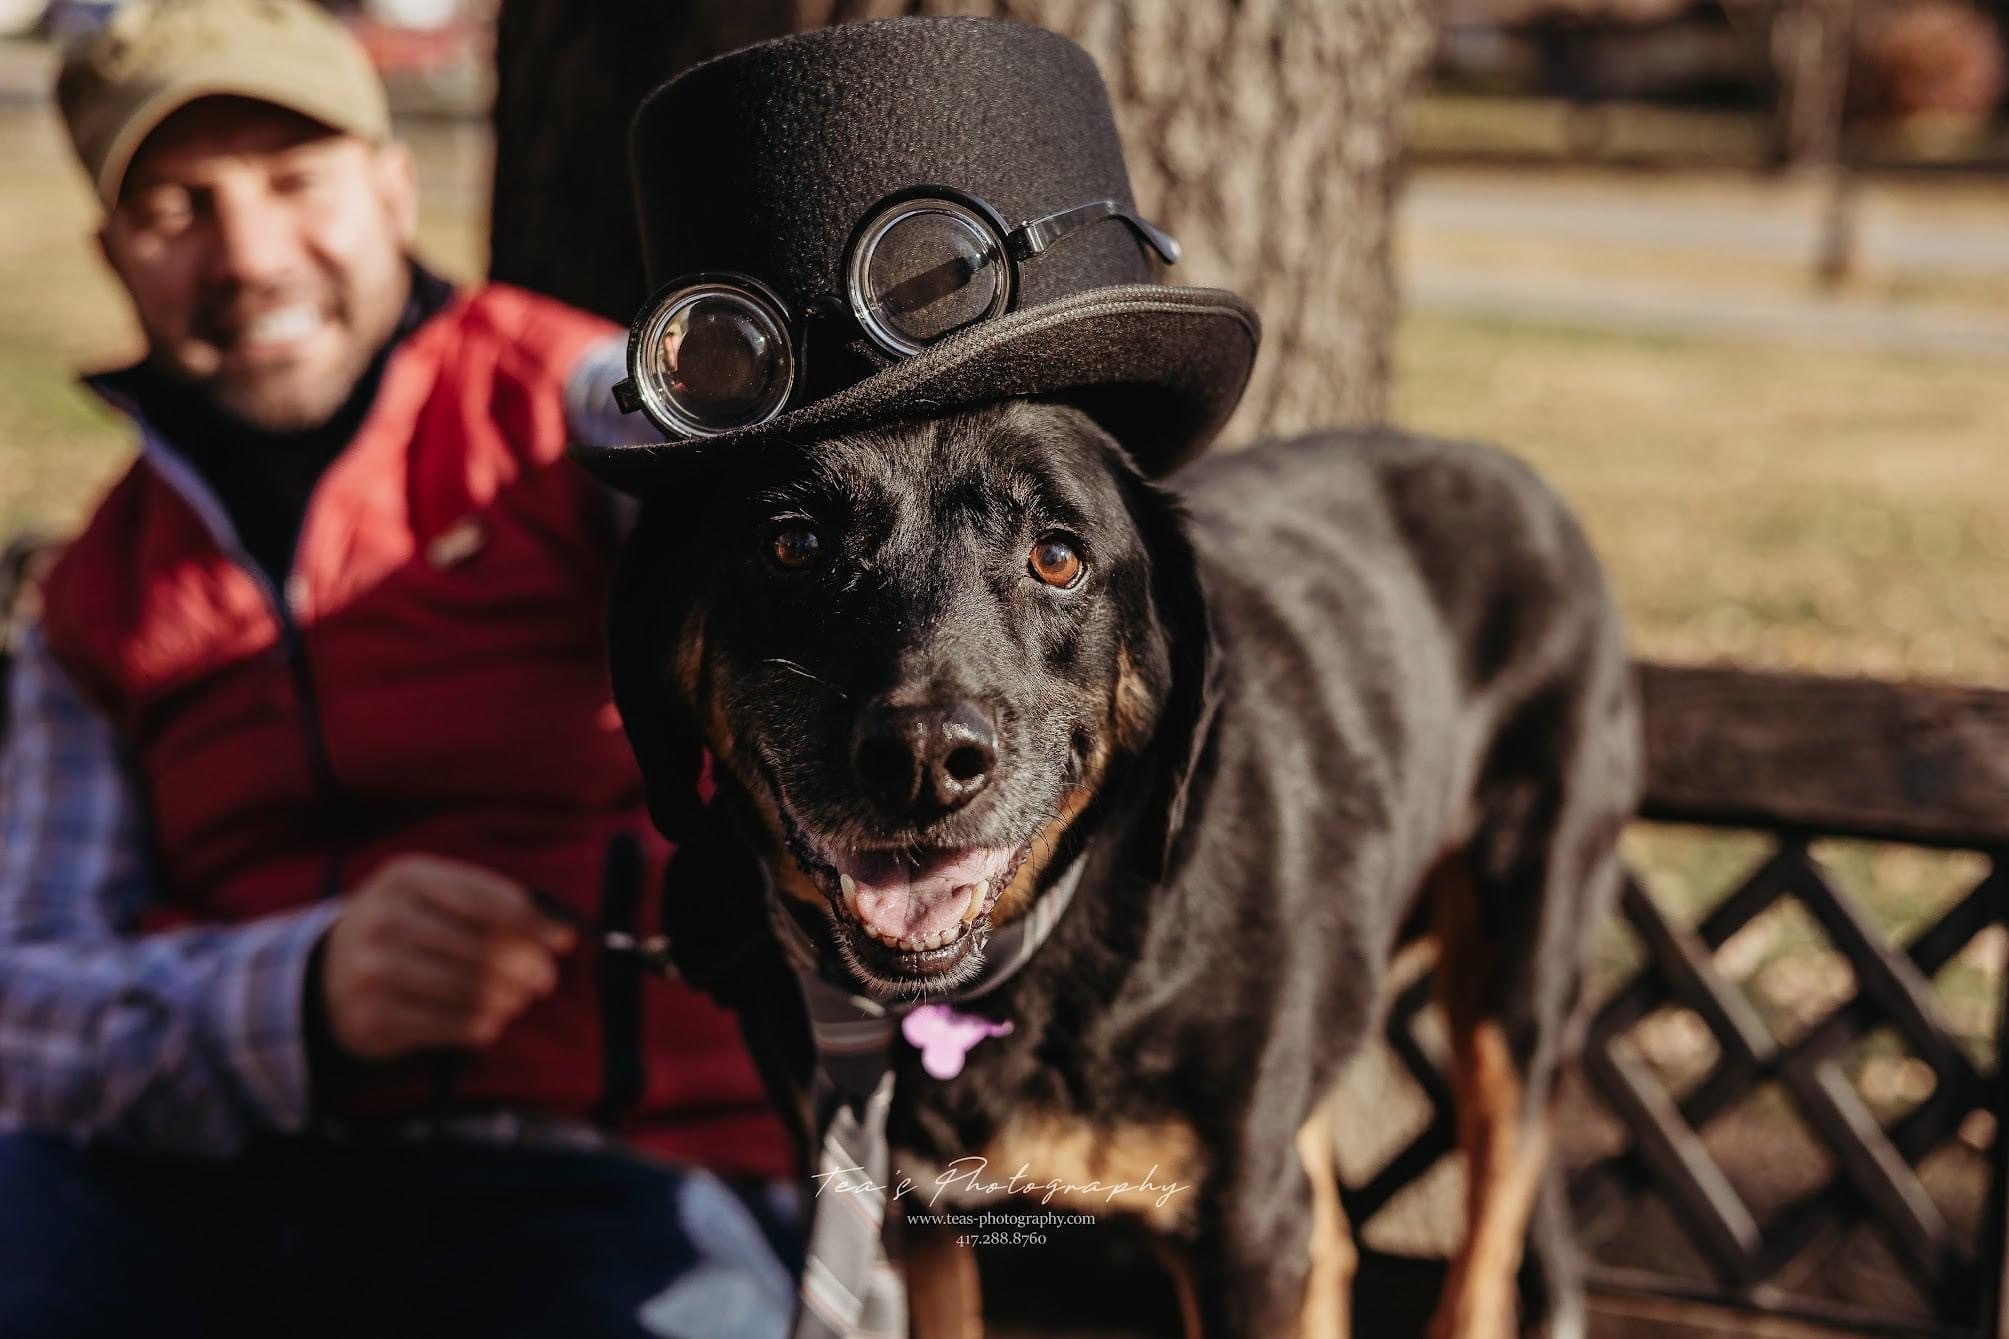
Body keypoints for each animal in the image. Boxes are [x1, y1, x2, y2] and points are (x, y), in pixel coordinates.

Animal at [618, 401, 1639, 1339]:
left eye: (1056, 556)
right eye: (792, 542)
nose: (923, 758)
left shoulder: (1239, 1229)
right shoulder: (906, 1214)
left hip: (1517, 977)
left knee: (1484, 1256)